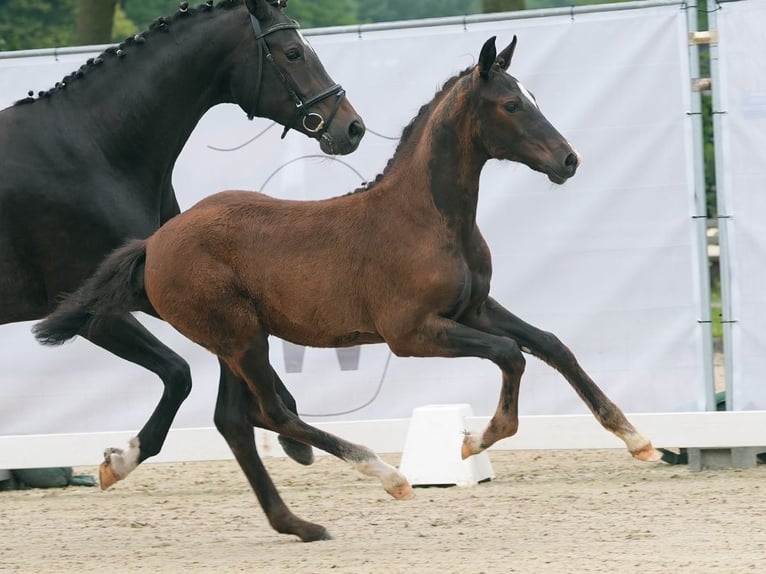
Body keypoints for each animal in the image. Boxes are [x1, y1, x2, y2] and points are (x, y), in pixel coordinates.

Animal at [0, 1, 366, 490]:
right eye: (292, 53)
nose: (353, 127)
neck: (94, 148)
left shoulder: (164, 287)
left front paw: (292, 437)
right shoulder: (93, 313)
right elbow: (179, 374)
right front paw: (121, 460)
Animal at [36, 37, 660, 544]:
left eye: (533, 96)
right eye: (511, 104)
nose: (569, 160)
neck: (426, 217)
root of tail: (153, 243)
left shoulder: (474, 308)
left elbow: (551, 344)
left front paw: (636, 439)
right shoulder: (413, 333)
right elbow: (511, 355)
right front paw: (474, 441)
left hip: (233, 342)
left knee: (235, 421)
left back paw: (295, 524)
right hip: (241, 339)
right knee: (271, 412)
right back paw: (386, 475)